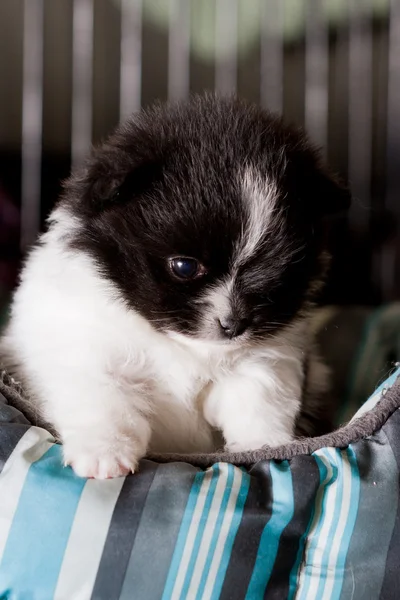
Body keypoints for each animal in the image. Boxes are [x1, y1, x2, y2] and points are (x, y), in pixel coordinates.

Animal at [0, 95, 350, 478]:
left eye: (280, 271)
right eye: (184, 267)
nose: (234, 325)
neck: (179, 344)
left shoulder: (269, 355)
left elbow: (259, 395)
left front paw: (266, 446)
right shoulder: (86, 346)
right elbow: (104, 397)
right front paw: (105, 452)